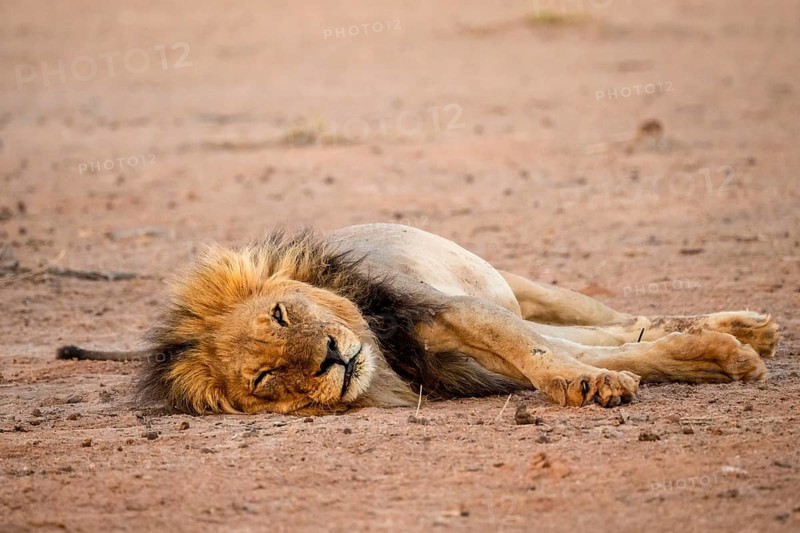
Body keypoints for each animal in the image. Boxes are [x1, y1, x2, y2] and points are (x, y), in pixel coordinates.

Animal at [57, 223, 779, 415]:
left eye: (282, 313)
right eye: (262, 379)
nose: (330, 357)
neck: (386, 354)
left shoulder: (451, 308)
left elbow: (545, 352)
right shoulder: (467, 366)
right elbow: (611, 354)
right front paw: (711, 358)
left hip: (513, 282)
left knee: (606, 315)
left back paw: (750, 326)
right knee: (610, 331)